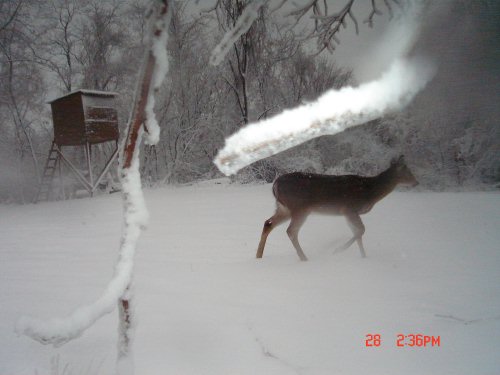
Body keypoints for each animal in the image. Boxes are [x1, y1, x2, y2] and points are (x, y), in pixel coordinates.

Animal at [258, 156, 418, 262]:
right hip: (300, 208)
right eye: (407, 170)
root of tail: (275, 185)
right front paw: (338, 250)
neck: (370, 192)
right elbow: (361, 230)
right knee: (291, 231)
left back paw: (258, 256)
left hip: (284, 208)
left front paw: (364, 257)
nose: (416, 182)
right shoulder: (349, 208)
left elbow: (358, 233)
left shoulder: (348, 213)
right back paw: (304, 258)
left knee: (268, 223)